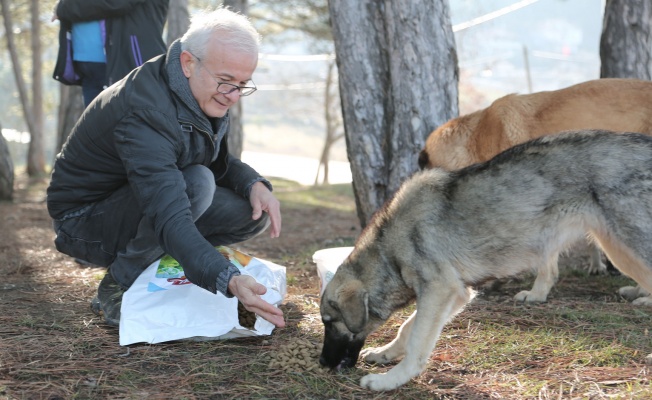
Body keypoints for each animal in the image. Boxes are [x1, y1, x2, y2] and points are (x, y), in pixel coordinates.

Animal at [320, 130, 652, 390]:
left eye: (329, 322)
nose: (322, 363)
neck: (389, 247)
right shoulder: (455, 294)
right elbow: (407, 328)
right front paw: (386, 354)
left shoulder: (438, 290)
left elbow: (416, 342)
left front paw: (390, 380)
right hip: (617, 247)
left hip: (628, 243)